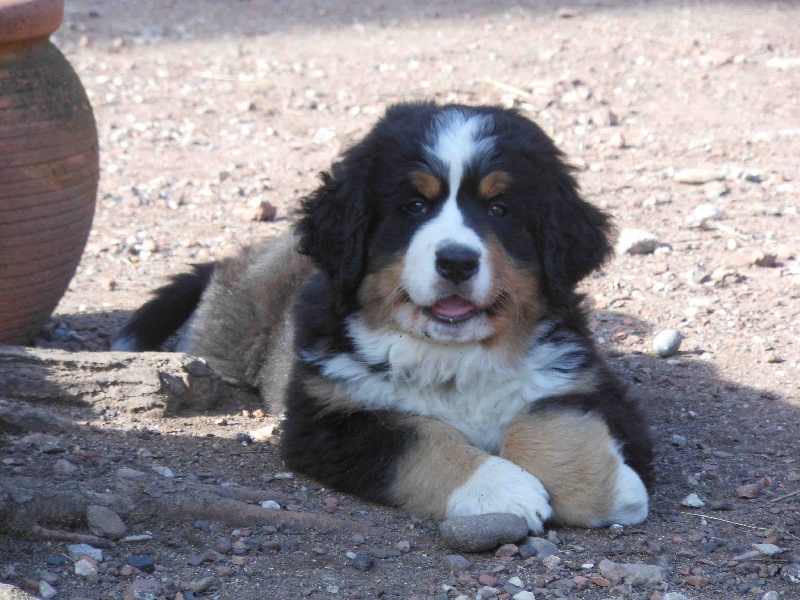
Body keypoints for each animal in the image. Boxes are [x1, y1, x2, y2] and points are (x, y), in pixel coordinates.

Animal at [112, 101, 648, 532]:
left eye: (500, 209)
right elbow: (419, 438)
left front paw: (613, 489)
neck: (454, 357)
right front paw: (500, 488)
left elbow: (551, 419)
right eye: (414, 205)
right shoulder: (326, 418)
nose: (456, 261)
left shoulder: (582, 378)